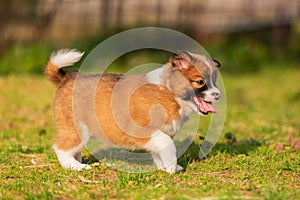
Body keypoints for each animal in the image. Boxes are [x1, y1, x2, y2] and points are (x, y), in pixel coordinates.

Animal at [44, 48, 220, 173]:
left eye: (214, 81)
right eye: (200, 82)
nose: (218, 95)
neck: (169, 91)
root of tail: (67, 78)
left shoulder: (159, 134)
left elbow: (160, 151)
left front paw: (165, 167)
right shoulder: (145, 130)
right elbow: (168, 144)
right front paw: (171, 167)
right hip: (78, 129)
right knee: (61, 148)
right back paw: (75, 166)